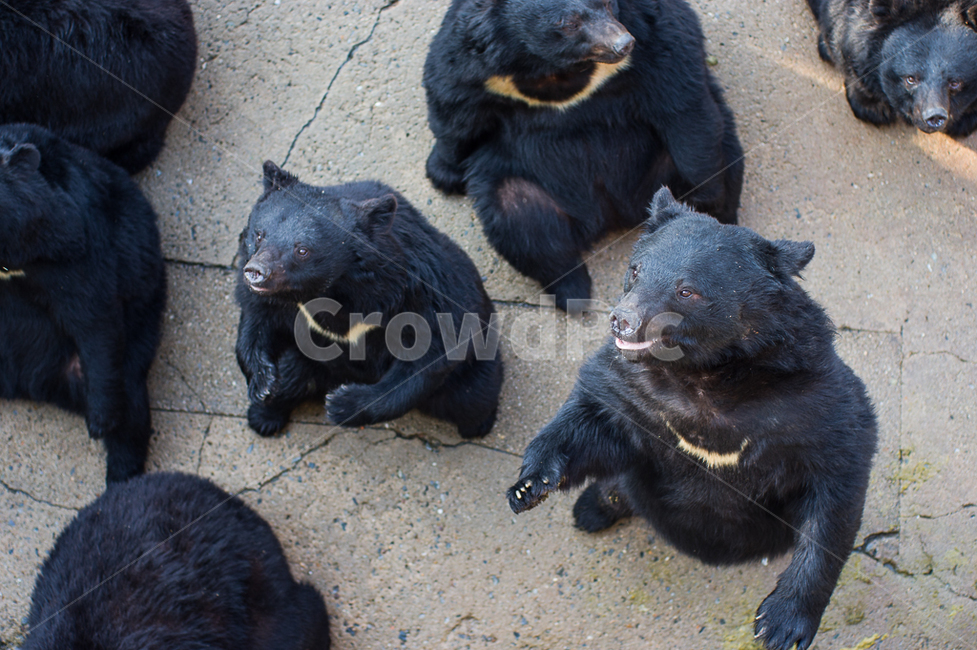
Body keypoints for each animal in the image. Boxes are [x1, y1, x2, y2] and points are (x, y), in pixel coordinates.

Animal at [235, 162, 504, 440]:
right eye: (259, 235)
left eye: (302, 250)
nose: (256, 272)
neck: (329, 289)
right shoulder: (276, 302)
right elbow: (256, 318)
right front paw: (263, 383)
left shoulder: (418, 292)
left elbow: (431, 351)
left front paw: (342, 403)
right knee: (290, 375)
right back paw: (264, 415)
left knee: (473, 395)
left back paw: (478, 425)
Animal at [423, 0, 744, 311]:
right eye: (569, 23)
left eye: (606, 3)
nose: (623, 44)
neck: (556, 67)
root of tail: (612, 212)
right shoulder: (480, 62)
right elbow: (452, 99)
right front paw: (443, 174)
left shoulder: (654, 30)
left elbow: (682, 96)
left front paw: (705, 197)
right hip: (525, 183)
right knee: (521, 220)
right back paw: (572, 292)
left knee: (723, 156)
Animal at [506, 188, 878, 650]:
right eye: (635, 269)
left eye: (687, 291)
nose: (623, 320)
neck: (705, 379)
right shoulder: (635, 393)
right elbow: (592, 422)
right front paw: (528, 485)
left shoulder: (812, 402)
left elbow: (837, 484)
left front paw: (781, 624)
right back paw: (593, 506)